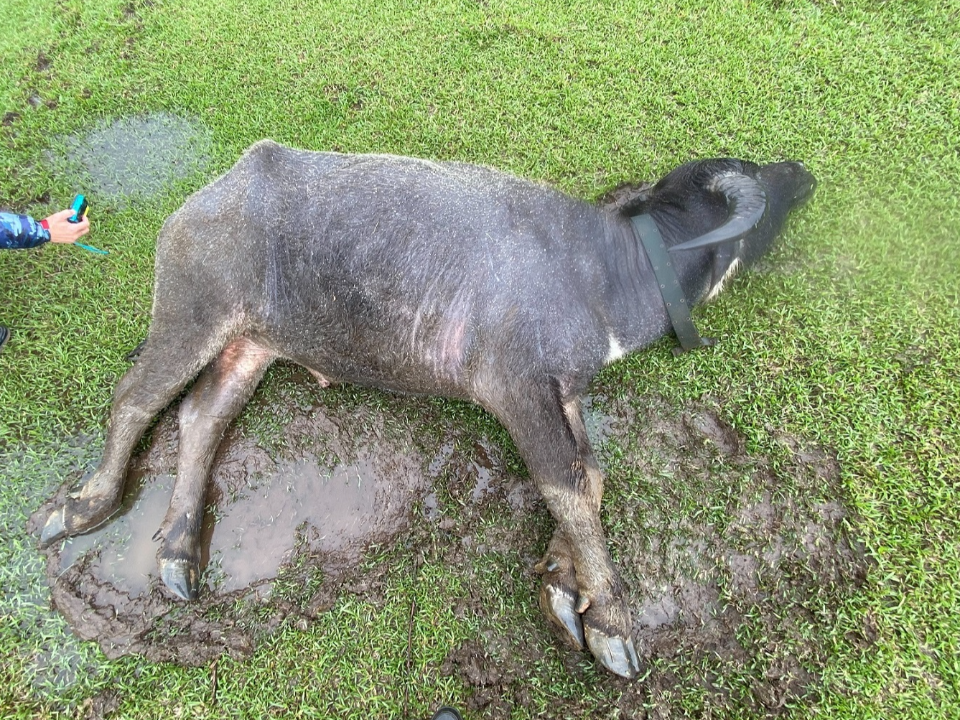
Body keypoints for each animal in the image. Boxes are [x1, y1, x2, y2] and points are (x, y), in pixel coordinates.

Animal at [41, 142, 812, 680]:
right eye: (765, 190)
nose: (802, 174)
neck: (599, 271)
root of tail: (207, 198)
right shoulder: (518, 391)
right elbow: (566, 484)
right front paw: (613, 622)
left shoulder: (563, 393)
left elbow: (590, 479)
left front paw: (566, 588)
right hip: (190, 312)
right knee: (136, 400)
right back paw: (84, 505)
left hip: (249, 347)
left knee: (200, 417)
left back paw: (177, 548)